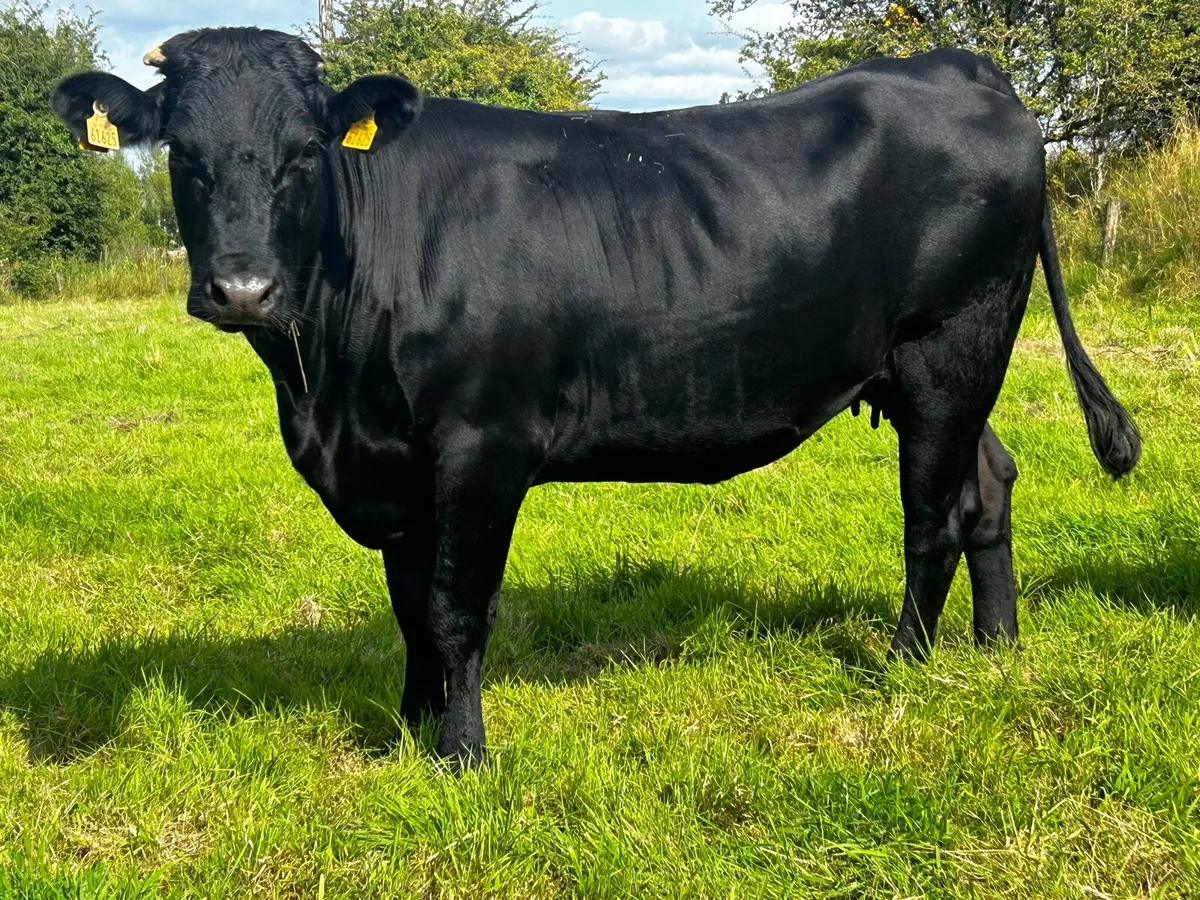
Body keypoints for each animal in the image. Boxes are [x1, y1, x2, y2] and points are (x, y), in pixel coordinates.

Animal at [53, 28, 1139, 765]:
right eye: (184, 156)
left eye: (301, 155)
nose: (242, 288)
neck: (328, 389)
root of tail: (957, 67)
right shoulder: (395, 465)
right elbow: (408, 608)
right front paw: (405, 733)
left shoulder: (481, 448)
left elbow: (455, 608)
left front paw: (461, 756)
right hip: (944, 371)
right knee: (987, 486)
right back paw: (995, 652)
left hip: (951, 345)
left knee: (932, 516)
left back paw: (908, 666)